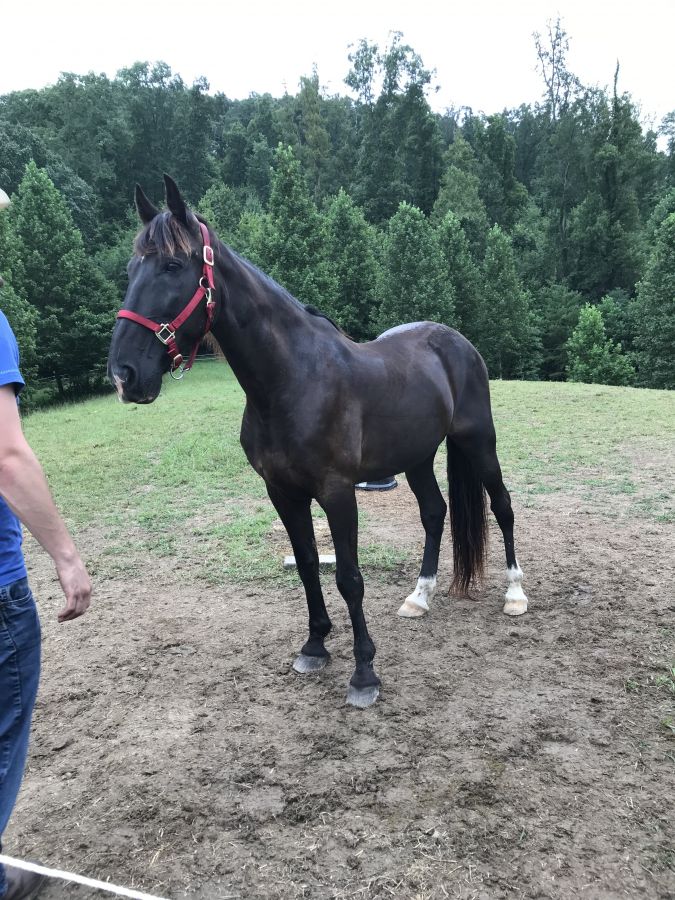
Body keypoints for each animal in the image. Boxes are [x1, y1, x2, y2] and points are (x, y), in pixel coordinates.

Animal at [107, 176, 528, 712]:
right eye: (131, 269)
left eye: (172, 266)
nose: (124, 375)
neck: (292, 380)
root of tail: (457, 342)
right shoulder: (282, 492)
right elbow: (308, 565)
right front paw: (314, 645)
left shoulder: (337, 491)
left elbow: (349, 577)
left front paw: (364, 673)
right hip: (416, 457)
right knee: (435, 513)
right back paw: (420, 596)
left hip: (478, 442)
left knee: (502, 505)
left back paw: (515, 594)